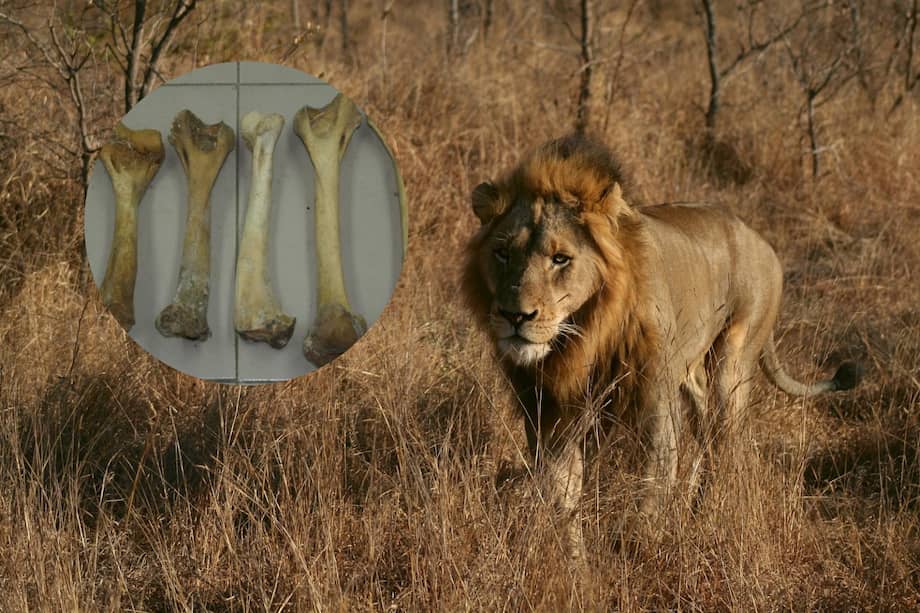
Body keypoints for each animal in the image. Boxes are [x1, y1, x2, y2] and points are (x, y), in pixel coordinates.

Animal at [463, 135, 860, 559]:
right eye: (502, 252)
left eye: (560, 258)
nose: (514, 315)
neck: (584, 337)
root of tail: (761, 239)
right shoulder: (549, 410)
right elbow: (562, 490)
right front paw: (576, 562)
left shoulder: (654, 401)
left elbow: (651, 484)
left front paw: (636, 550)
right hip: (688, 373)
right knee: (705, 435)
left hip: (733, 360)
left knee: (724, 443)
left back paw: (705, 519)